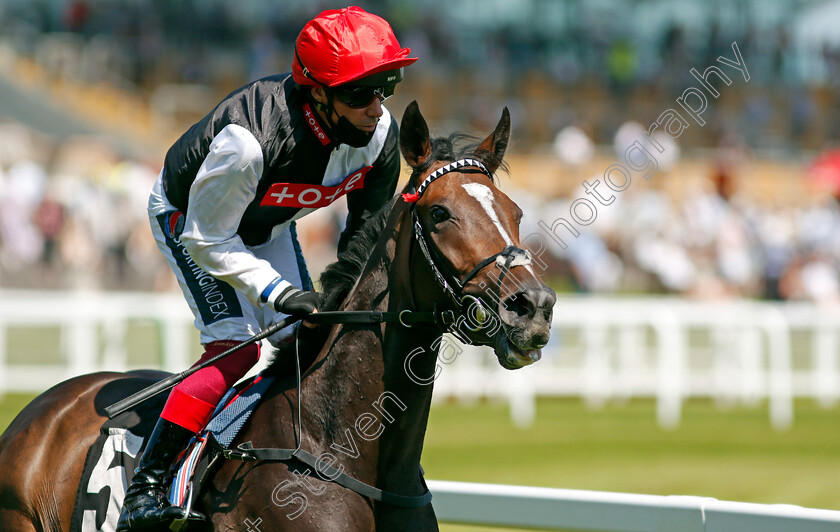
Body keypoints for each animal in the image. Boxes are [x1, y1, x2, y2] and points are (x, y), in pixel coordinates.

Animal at [0, 101, 556, 532]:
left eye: (515, 211)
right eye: (439, 213)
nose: (533, 307)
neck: (342, 448)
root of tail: (41, 408)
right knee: (227, 343)